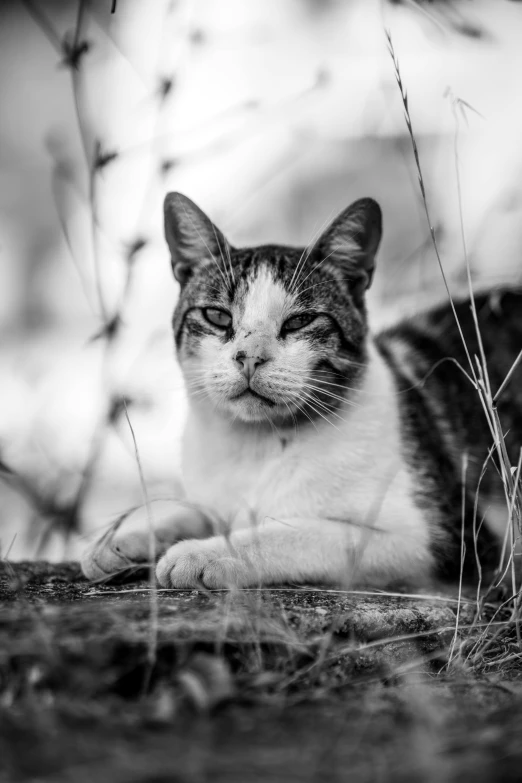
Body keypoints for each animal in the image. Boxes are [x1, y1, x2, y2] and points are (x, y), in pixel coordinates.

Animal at [81, 193, 520, 592]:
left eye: (300, 321)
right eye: (217, 316)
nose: (249, 357)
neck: (256, 447)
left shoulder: (448, 540)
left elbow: (296, 532)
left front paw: (203, 552)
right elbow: (196, 511)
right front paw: (120, 538)